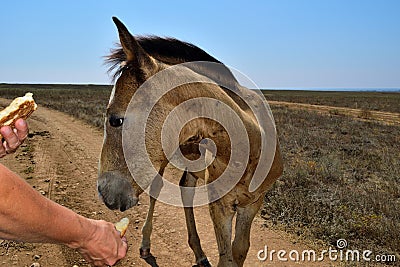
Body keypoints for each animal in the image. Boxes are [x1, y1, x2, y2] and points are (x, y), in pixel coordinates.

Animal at [98, 17, 282, 267]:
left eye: (116, 120)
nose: (104, 192)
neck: (250, 144)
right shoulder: (221, 206)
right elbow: (227, 257)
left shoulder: (253, 203)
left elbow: (240, 251)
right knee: (157, 190)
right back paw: (147, 244)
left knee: (186, 188)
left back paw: (199, 252)